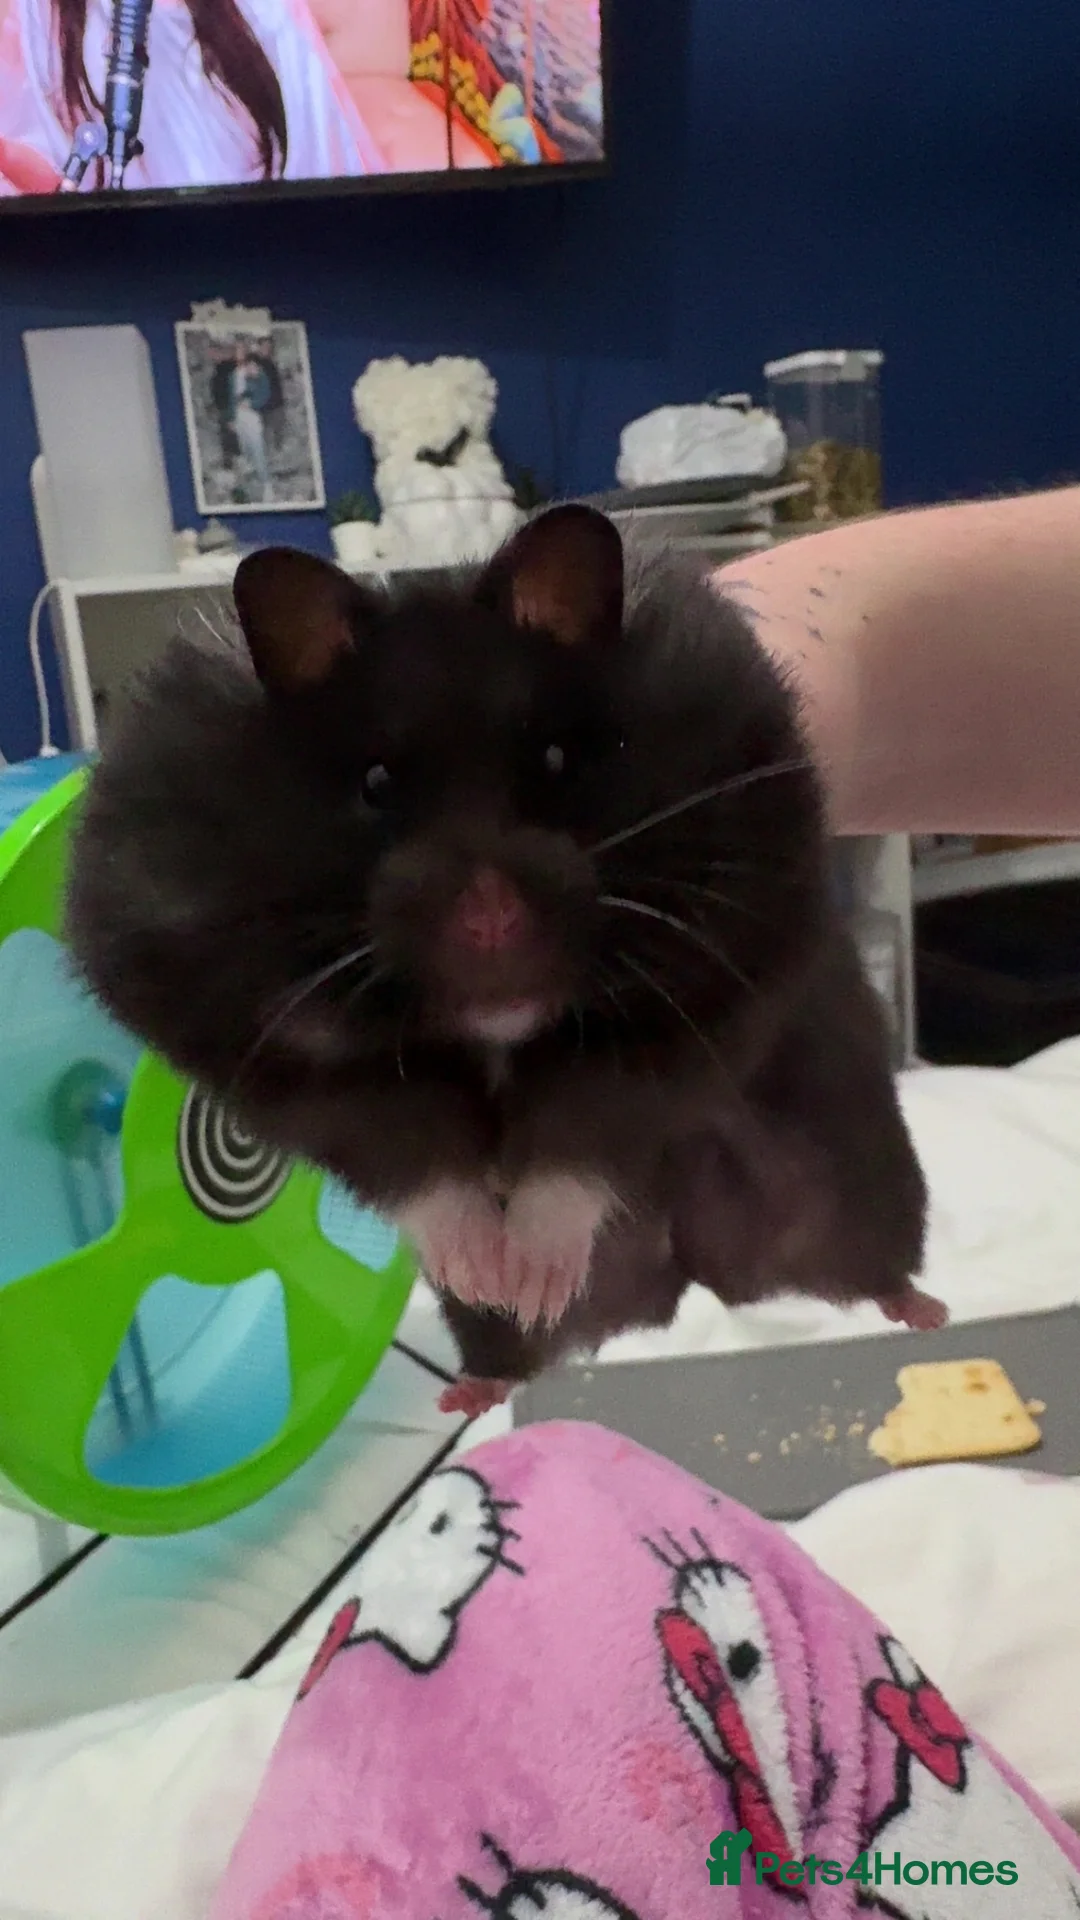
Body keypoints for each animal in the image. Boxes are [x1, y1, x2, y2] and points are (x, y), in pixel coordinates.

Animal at [66, 504, 943, 1413]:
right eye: (376, 783)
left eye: (555, 759)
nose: (491, 923)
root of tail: (689, 1280)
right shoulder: (246, 1024)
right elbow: (408, 1145)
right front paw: (487, 1268)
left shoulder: (714, 975)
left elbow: (585, 1128)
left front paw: (529, 1265)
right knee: (515, 1350)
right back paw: (481, 1371)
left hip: (849, 1193)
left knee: (868, 1266)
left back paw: (920, 1315)